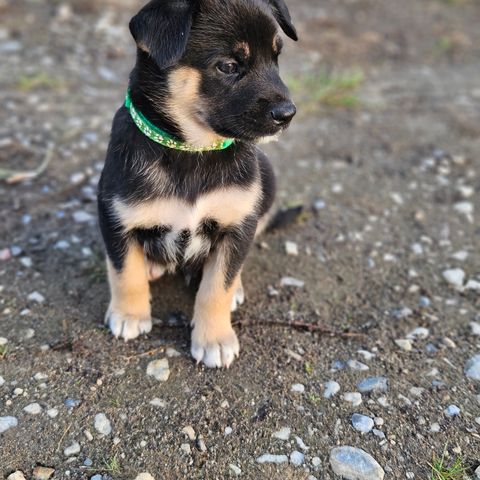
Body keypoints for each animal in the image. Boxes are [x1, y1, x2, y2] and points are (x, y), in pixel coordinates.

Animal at [97, 0, 296, 370]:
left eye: (276, 58)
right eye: (229, 66)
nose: (287, 114)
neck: (192, 150)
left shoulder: (238, 223)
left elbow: (217, 287)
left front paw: (214, 339)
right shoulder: (115, 214)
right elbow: (124, 269)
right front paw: (129, 315)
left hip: (267, 180)